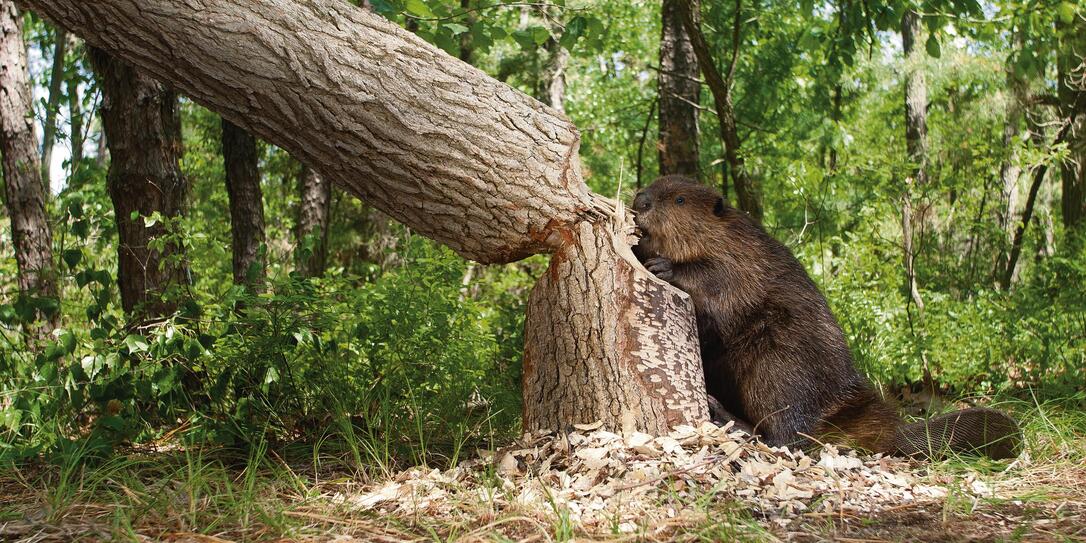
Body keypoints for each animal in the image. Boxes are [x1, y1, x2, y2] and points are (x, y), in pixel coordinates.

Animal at [634, 173, 1020, 458]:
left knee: (790, 435)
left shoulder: (742, 257)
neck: (724, 234)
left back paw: (729, 418)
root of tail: (889, 430)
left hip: (779, 366)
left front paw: (662, 265)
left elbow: (717, 280)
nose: (640, 201)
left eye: (679, 200)